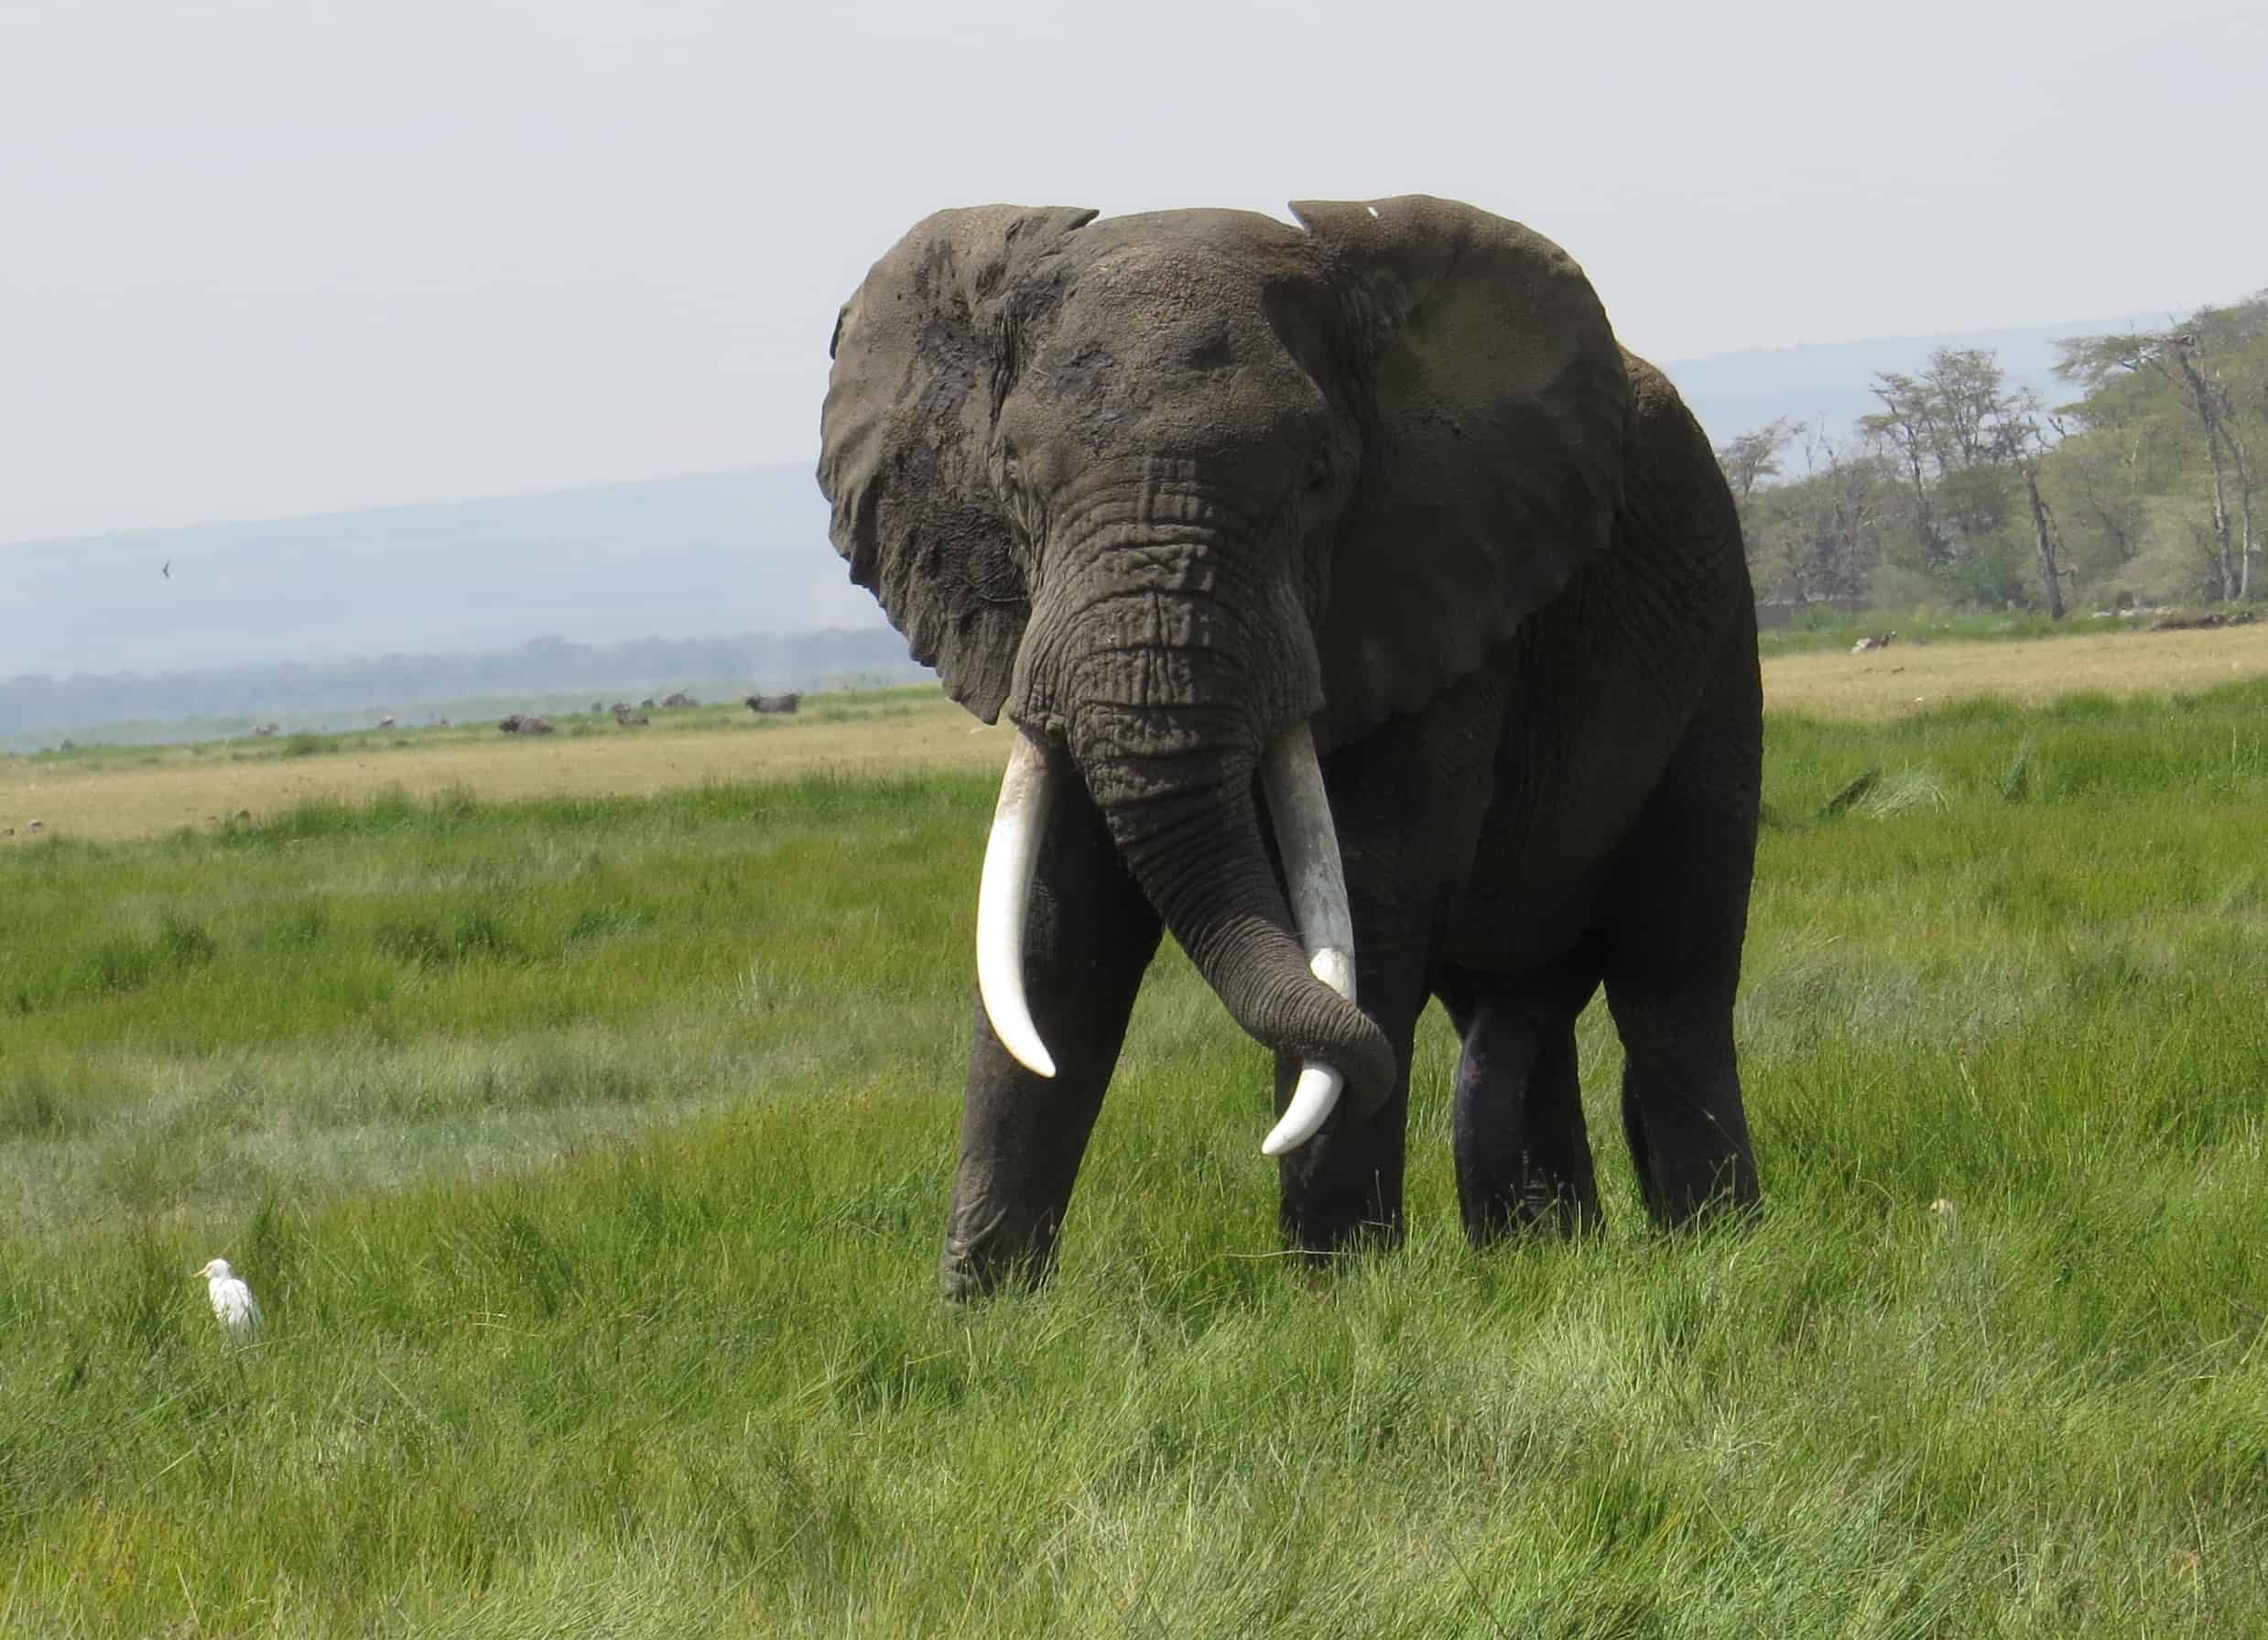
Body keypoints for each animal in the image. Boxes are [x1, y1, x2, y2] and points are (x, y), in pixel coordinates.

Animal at [817, 195, 1763, 1298]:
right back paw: (1540, 1251)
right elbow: (1055, 925)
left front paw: (1337, 1293)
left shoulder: (1435, 583)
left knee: (1674, 976)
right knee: (1510, 1004)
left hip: (1717, 630)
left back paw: (1715, 1240)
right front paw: (988, 1311)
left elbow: (1369, 892)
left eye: (1316, 477)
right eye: (1011, 476)